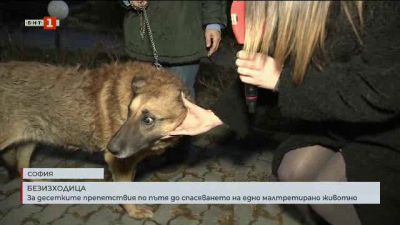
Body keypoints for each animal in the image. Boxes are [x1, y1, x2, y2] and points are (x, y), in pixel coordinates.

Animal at [0, 60, 191, 219]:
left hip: (30, 139)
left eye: (148, 119)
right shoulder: (120, 162)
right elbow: (125, 189)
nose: (110, 148)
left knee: (22, 166)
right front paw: (133, 211)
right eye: (129, 111)